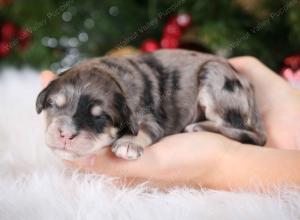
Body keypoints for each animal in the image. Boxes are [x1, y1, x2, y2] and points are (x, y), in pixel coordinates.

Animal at [36, 49, 266, 161]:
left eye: (100, 117)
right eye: (53, 104)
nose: (65, 134)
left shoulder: (152, 120)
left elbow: (144, 130)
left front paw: (128, 144)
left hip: (216, 77)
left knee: (248, 133)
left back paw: (197, 127)